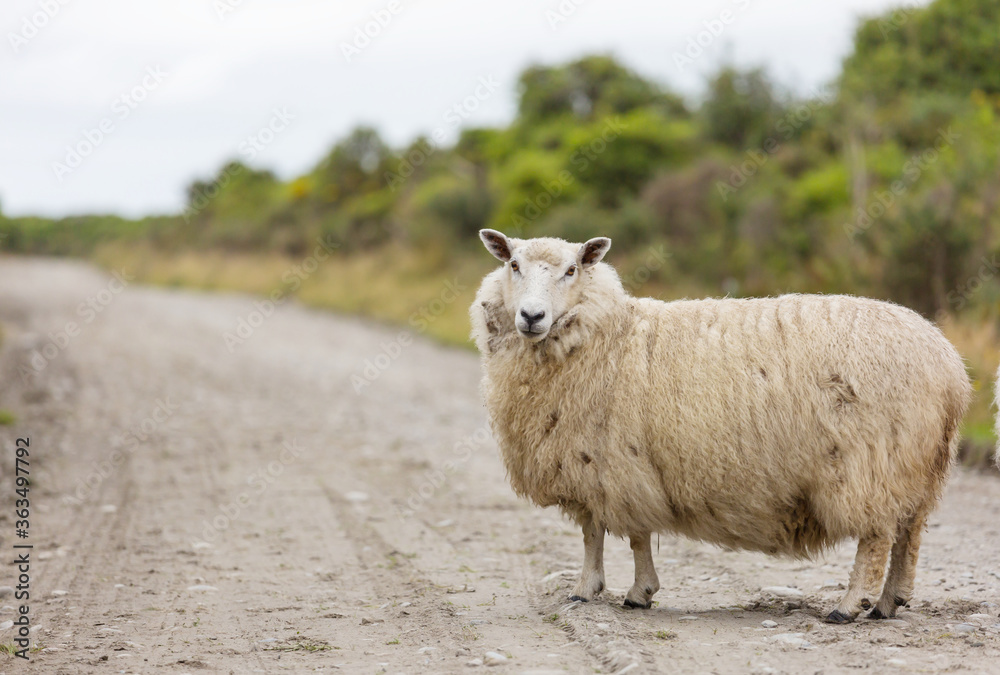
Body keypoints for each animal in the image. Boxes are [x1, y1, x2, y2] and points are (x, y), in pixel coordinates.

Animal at [470, 229, 973, 623]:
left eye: (572, 270)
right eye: (513, 264)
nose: (531, 317)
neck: (605, 334)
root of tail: (949, 366)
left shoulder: (611, 461)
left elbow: (614, 533)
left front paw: (607, 590)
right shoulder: (611, 463)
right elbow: (608, 531)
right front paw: (617, 590)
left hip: (871, 464)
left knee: (876, 539)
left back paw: (848, 606)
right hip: (914, 464)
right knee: (909, 534)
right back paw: (891, 602)